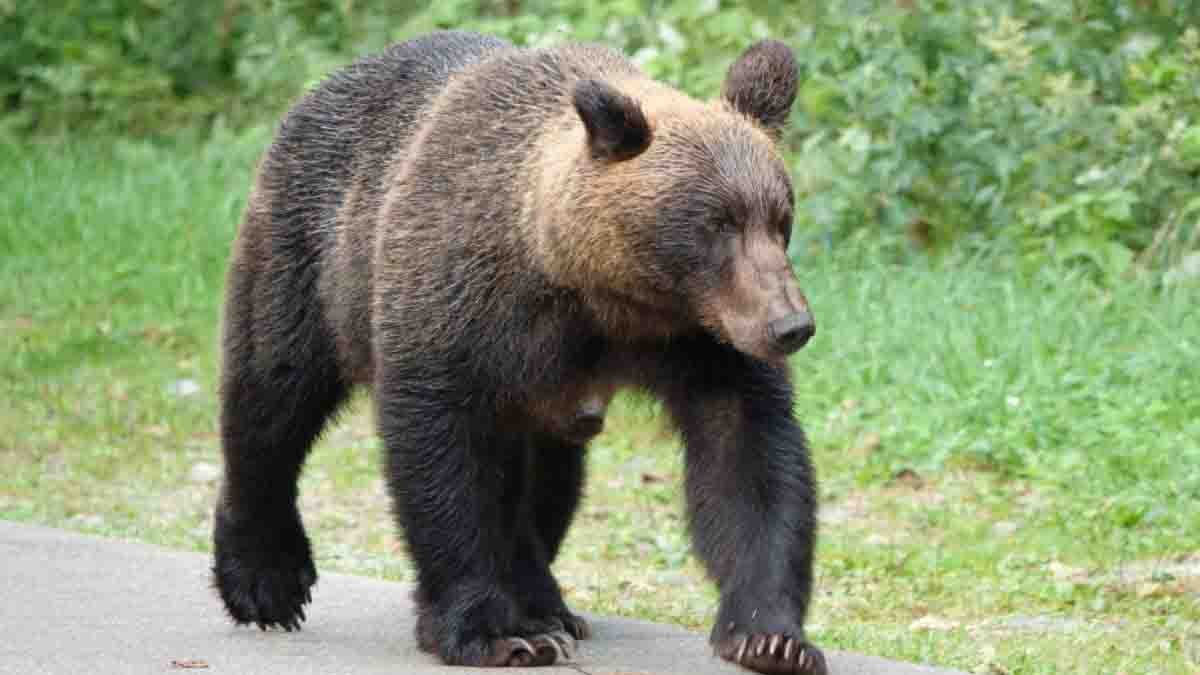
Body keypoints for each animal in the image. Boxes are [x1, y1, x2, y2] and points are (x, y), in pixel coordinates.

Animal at [212, 30, 823, 675]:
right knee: (272, 394)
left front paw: (770, 636)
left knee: (549, 485)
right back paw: (265, 579)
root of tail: (321, 87)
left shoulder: (699, 340)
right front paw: (490, 633)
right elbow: (446, 459)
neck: (597, 292)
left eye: (780, 217)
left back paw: (546, 605)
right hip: (309, 256)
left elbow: (748, 458)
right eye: (716, 223)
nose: (791, 325)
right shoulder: (459, 308)